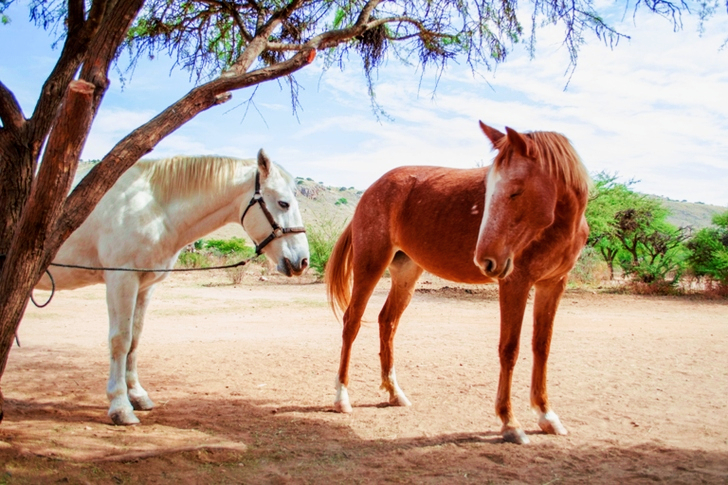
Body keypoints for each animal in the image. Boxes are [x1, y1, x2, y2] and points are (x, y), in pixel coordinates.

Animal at [34, 149, 310, 425]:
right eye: (283, 203)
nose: (303, 261)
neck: (153, 207)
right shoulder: (121, 280)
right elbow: (120, 340)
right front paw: (120, 406)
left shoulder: (144, 286)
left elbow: (135, 339)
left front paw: (137, 396)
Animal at [325, 121, 590, 444]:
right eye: (488, 191)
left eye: (516, 191)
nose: (485, 260)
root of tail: (372, 189)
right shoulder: (515, 282)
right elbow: (509, 349)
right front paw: (509, 422)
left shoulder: (552, 284)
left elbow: (542, 347)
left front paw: (546, 415)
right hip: (370, 264)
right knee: (352, 321)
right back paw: (341, 397)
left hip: (406, 273)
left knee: (387, 322)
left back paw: (394, 393)